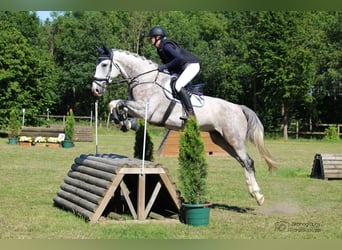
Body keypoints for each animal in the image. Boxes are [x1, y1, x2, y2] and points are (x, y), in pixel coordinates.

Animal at [92, 46, 276, 205]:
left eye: (104, 64)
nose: (95, 90)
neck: (145, 79)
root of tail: (238, 107)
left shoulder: (147, 110)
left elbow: (115, 102)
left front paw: (121, 120)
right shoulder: (138, 108)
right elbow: (119, 105)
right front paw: (124, 122)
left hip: (233, 138)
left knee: (248, 161)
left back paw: (258, 196)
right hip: (221, 139)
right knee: (242, 161)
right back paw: (253, 192)